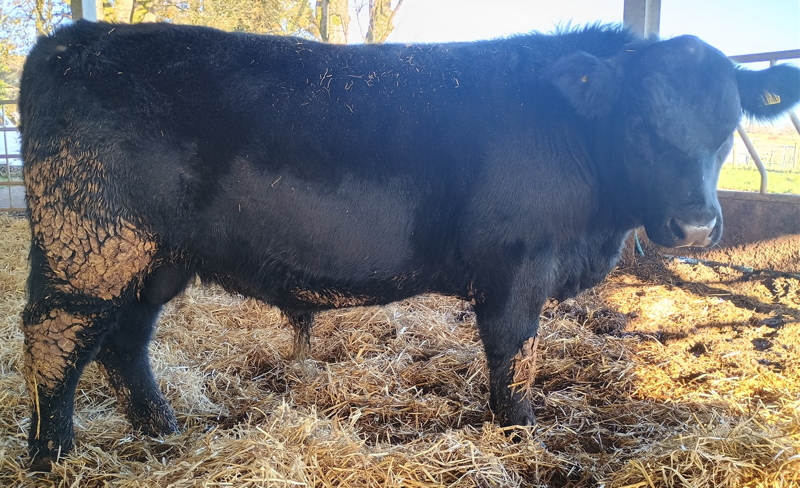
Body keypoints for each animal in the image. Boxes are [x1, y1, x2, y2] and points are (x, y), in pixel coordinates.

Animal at [18, 20, 800, 470]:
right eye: (640, 123)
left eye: (727, 124)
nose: (696, 226)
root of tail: (74, 36)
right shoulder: (517, 269)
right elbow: (514, 364)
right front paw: (522, 442)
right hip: (88, 242)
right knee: (52, 341)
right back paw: (51, 457)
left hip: (152, 258)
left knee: (123, 341)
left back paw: (163, 430)